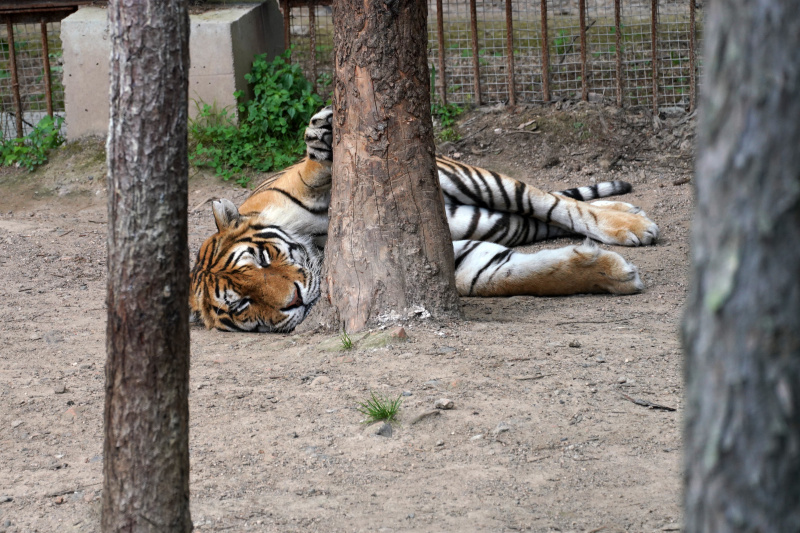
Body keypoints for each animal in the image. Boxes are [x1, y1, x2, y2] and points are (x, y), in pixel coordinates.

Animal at [190, 105, 659, 333]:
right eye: (243, 303)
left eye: (263, 259)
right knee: (548, 216)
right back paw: (630, 215)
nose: (293, 301)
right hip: (497, 220)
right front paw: (613, 275)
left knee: (555, 201)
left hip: (484, 181)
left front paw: (320, 132)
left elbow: (312, 168)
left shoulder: (302, 188)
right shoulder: (464, 262)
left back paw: (631, 224)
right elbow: (526, 275)